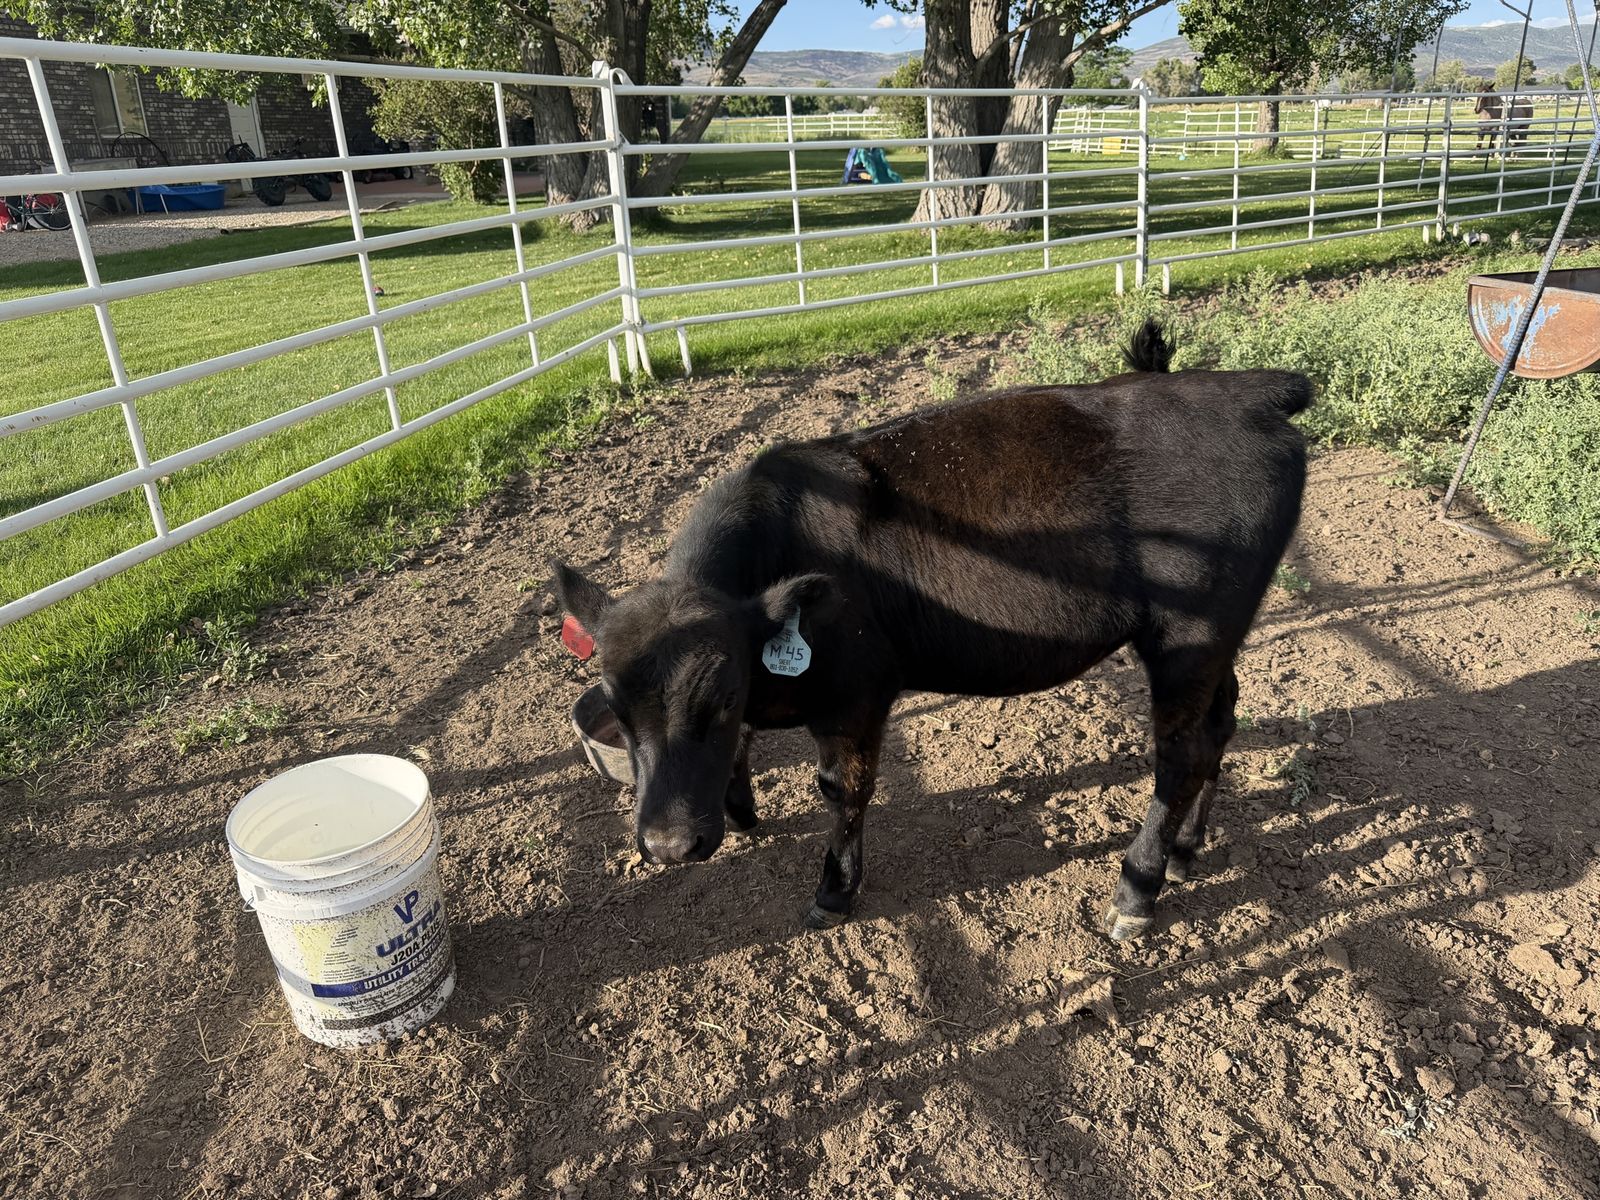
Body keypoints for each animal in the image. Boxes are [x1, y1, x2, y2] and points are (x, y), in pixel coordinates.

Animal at [554, 320, 1310, 941]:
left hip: (1188, 633)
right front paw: (741, 809)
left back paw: (1138, 888)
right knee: (1221, 723)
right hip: (1219, 637)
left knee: (1180, 754)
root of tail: (1247, 391)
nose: (669, 846)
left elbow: (842, 790)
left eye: (723, 695)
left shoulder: (856, 695)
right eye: (618, 709)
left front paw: (834, 891)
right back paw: (1185, 851)